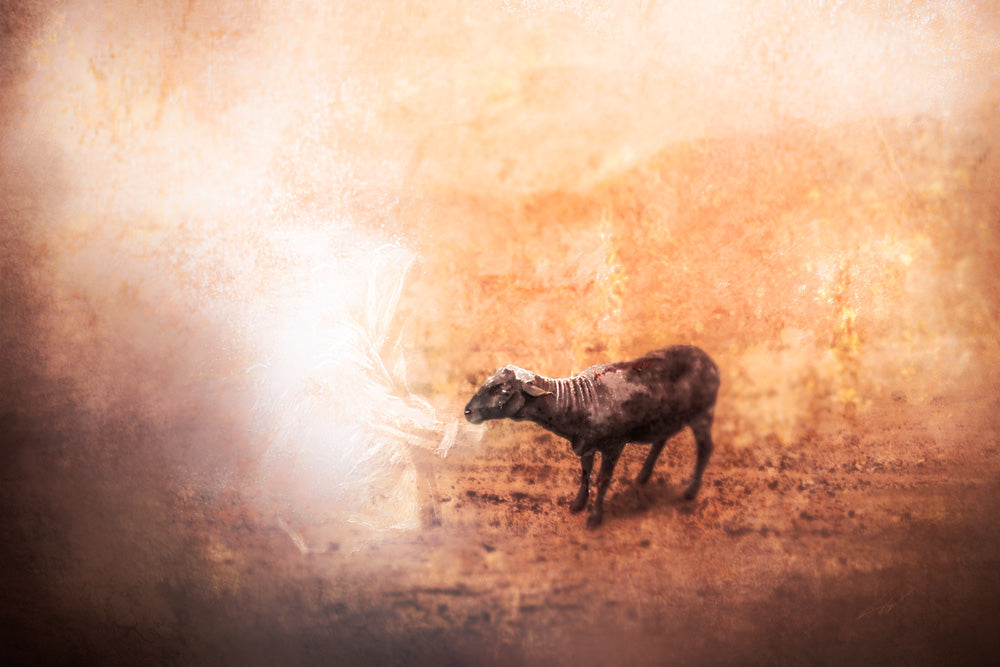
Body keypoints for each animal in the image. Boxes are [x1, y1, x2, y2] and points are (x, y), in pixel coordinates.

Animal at [464, 345, 720, 528]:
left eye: (499, 389)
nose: (468, 412)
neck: (577, 402)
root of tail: (707, 359)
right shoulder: (585, 444)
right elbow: (585, 473)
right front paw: (578, 504)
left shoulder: (613, 446)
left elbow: (602, 480)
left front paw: (595, 517)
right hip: (665, 417)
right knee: (660, 441)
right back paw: (643, 477)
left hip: (702, 414)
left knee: (705, 448)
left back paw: (690, 491)